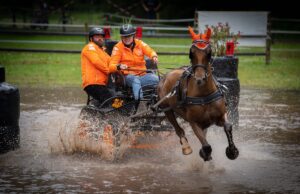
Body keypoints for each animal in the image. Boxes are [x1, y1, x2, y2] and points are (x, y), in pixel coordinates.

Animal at [157, 26, 239, 161]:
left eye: (209, 52)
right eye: (191, 53)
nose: (200, 78)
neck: (204, 95)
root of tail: (166, 75)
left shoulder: (220, 116)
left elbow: (228, 126)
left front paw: (232, 151)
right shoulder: (194, 122)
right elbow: (206, 146)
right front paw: (204, 154)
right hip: (167, 110)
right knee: (178, 130)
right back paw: (186, 147)